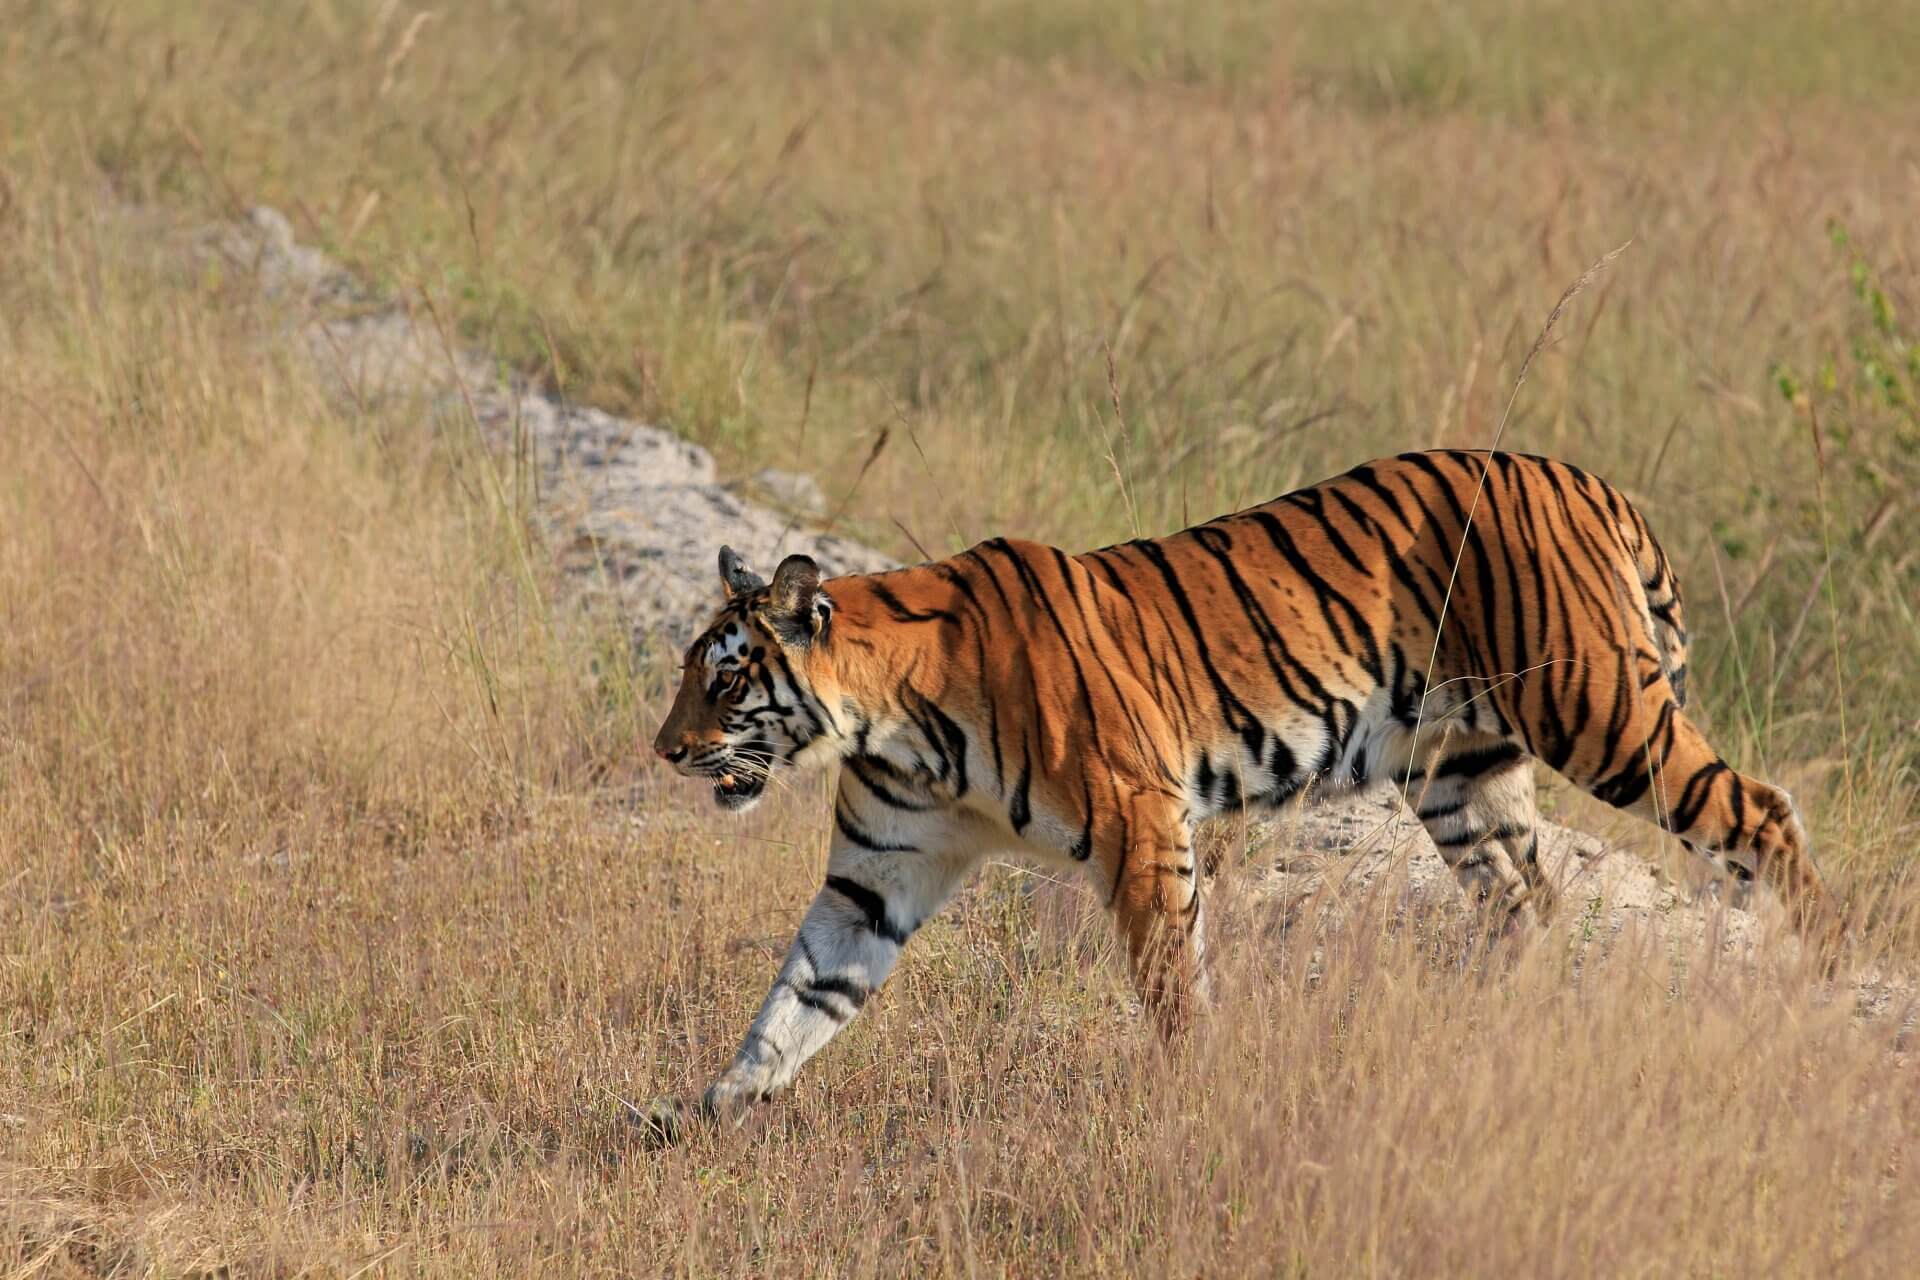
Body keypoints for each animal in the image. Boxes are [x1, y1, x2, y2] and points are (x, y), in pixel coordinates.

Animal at [652, 449, 1835, 1128]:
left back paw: (1818, 971)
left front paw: (1195, 1092)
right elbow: (800, 997)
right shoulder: (878, 873)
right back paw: (1500, 1044)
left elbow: (1173, 976)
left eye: (726, 677)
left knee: (1761, 812)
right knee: (1529, 904)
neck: (894, 718)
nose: (664, 750)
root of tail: (1585, 476)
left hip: (1599, 714)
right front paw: (709, 1109)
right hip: (1463, 770)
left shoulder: (1140, 820)